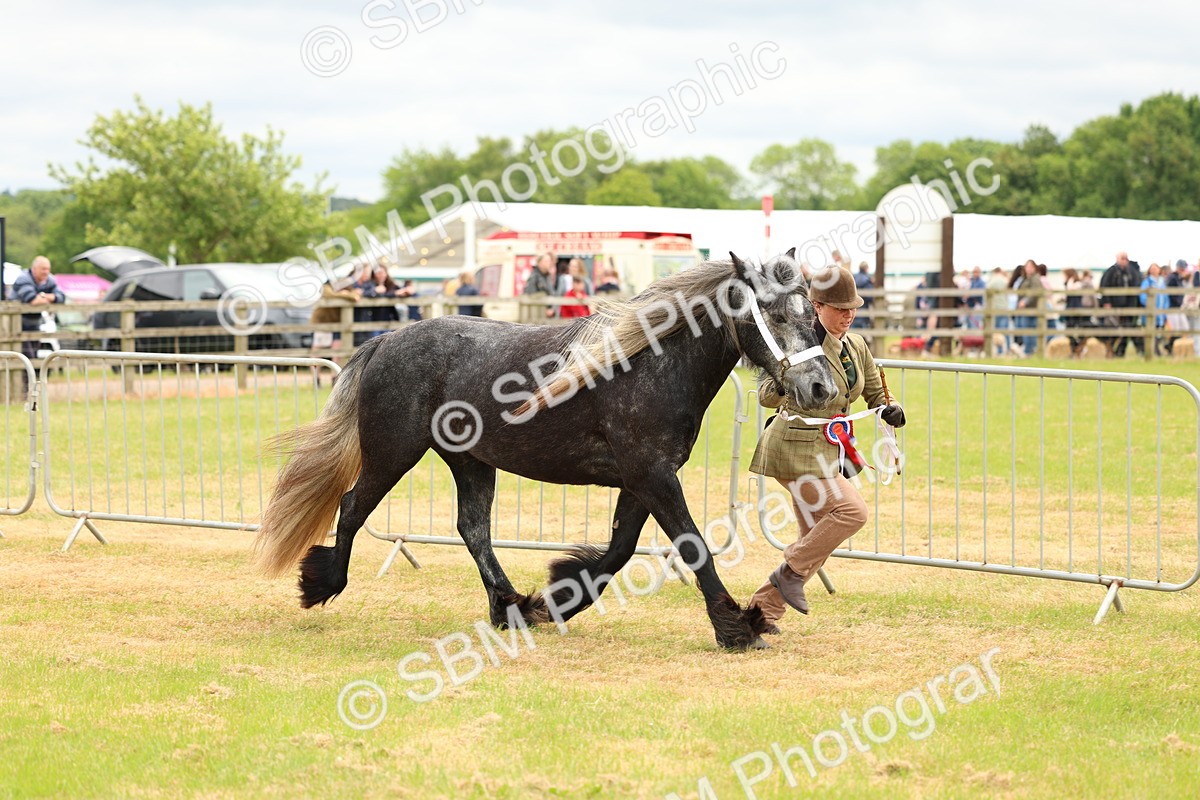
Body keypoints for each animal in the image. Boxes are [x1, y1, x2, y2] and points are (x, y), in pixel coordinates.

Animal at [254, 250, 838, 650]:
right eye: (772, 314)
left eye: (811, 314)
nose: (820, 389)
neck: (651, 364)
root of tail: (385, 341)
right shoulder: (652, 475)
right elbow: (692, 546)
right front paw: (738, 627)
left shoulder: (643, 479)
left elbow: (620, 551)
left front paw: (558, 599)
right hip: (394, 451)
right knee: (354, 507)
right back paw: (321, 584)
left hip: (469, 461)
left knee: (473, 528)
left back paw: (511, 607)